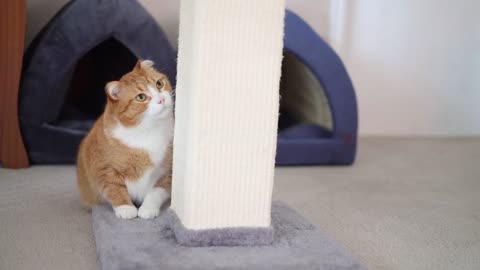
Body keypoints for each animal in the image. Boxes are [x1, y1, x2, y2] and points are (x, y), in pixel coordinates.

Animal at [75, 59, 172, 219]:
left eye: (159, 84)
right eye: (141, 97)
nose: (162, 99)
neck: (148, 131)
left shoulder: (166, 172)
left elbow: (156, 192)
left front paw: (148, 209)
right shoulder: (104, 169)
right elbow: (115, 189)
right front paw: (126, 208)